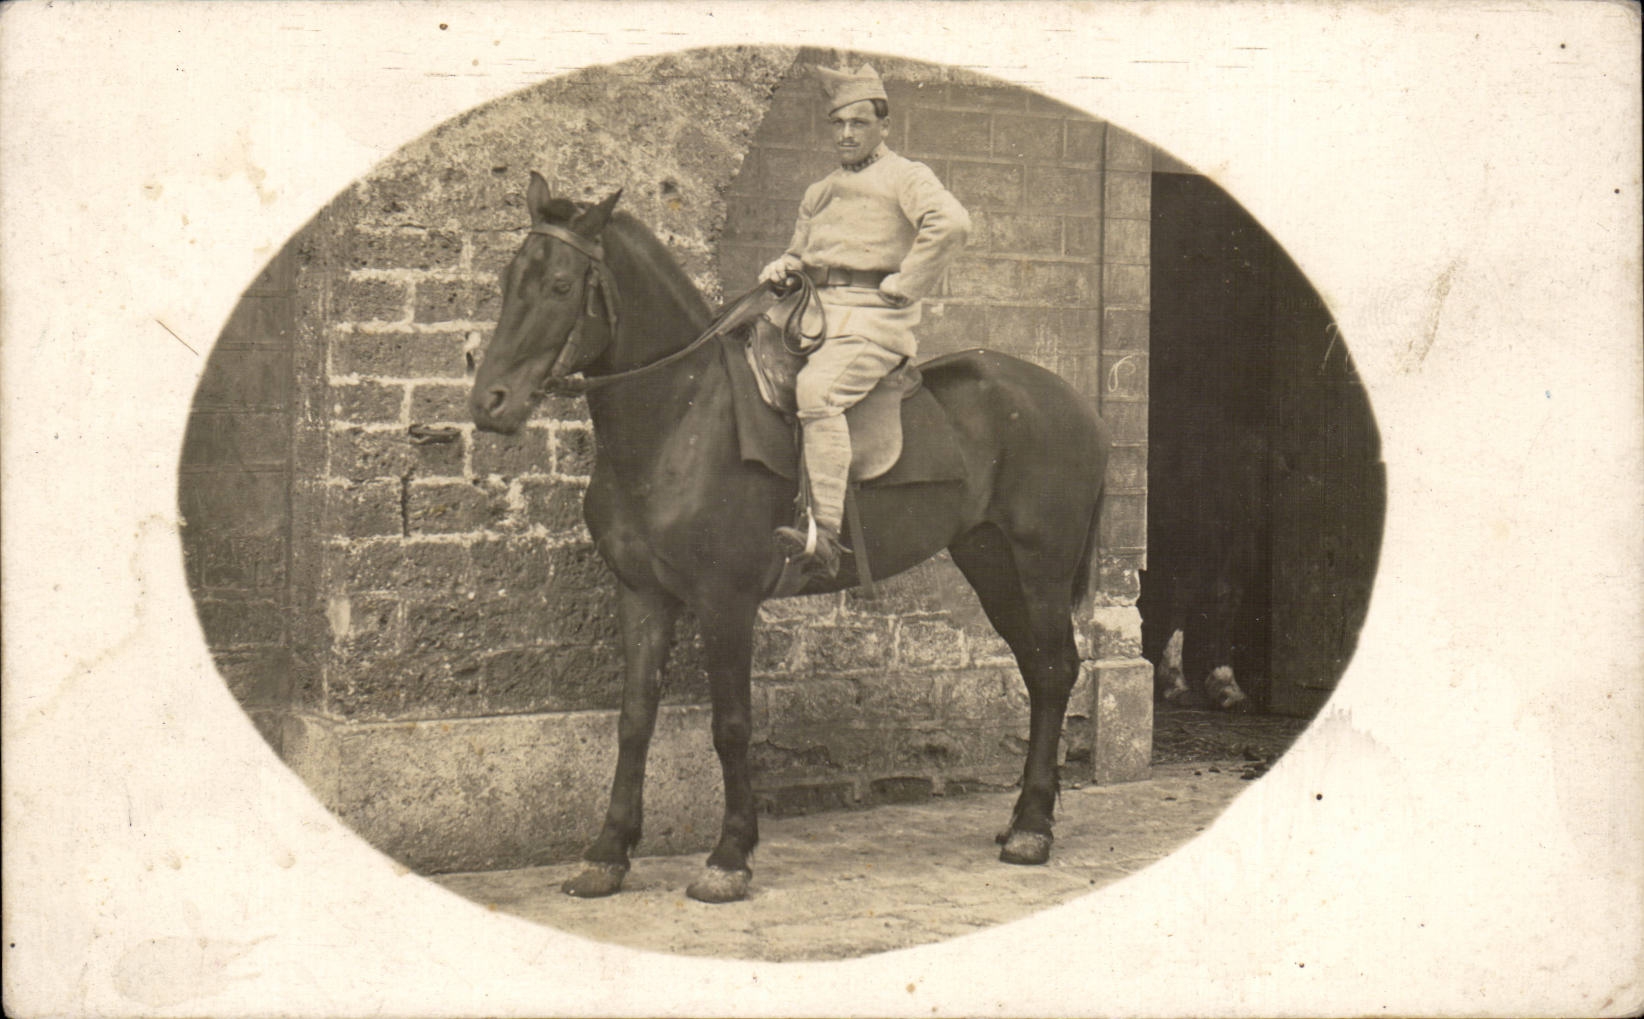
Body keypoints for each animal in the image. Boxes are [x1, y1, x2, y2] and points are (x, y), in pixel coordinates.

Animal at [469, 173, 1111, 904]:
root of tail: (1074, 402)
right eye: (508, 278)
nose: (489, 402)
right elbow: (633, 719)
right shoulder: (641, 595)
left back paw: (1033, 828)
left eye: (558, 285)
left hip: (1041, 566)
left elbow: (731, 725)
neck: (680, 418)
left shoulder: (725, 603)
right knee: (1037, 670)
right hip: (991, 563)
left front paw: (729, 856)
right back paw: (1023, 818)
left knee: (1056, 670)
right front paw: (608, 851)